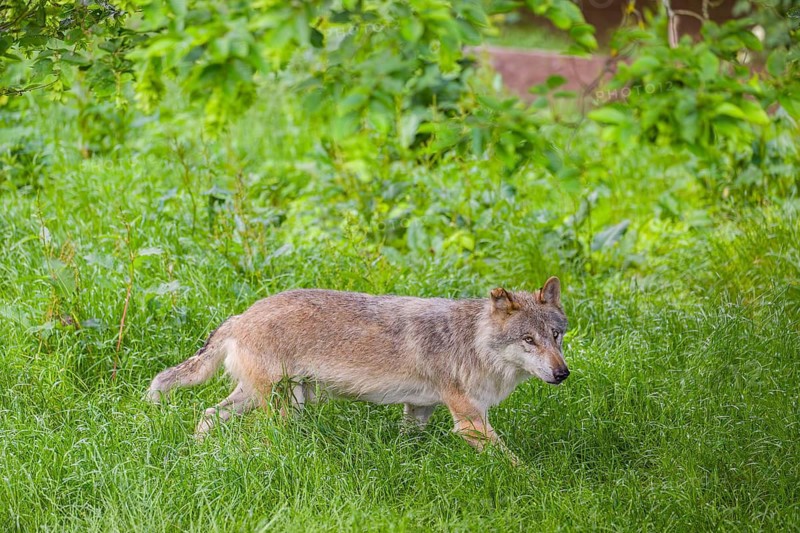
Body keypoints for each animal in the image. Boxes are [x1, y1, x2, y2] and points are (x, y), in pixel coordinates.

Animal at [147, 277, 569, 455]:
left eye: (556, 336)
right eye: (528, 341)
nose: (562, 373)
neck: (474, 343)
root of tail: (239, 316)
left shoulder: (419, 410)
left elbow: (408, 443)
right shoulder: (470, 422)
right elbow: (514, 464)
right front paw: (536, 484)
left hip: (266, 399)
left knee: (208, 414)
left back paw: (196, 452)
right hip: (284, 407)